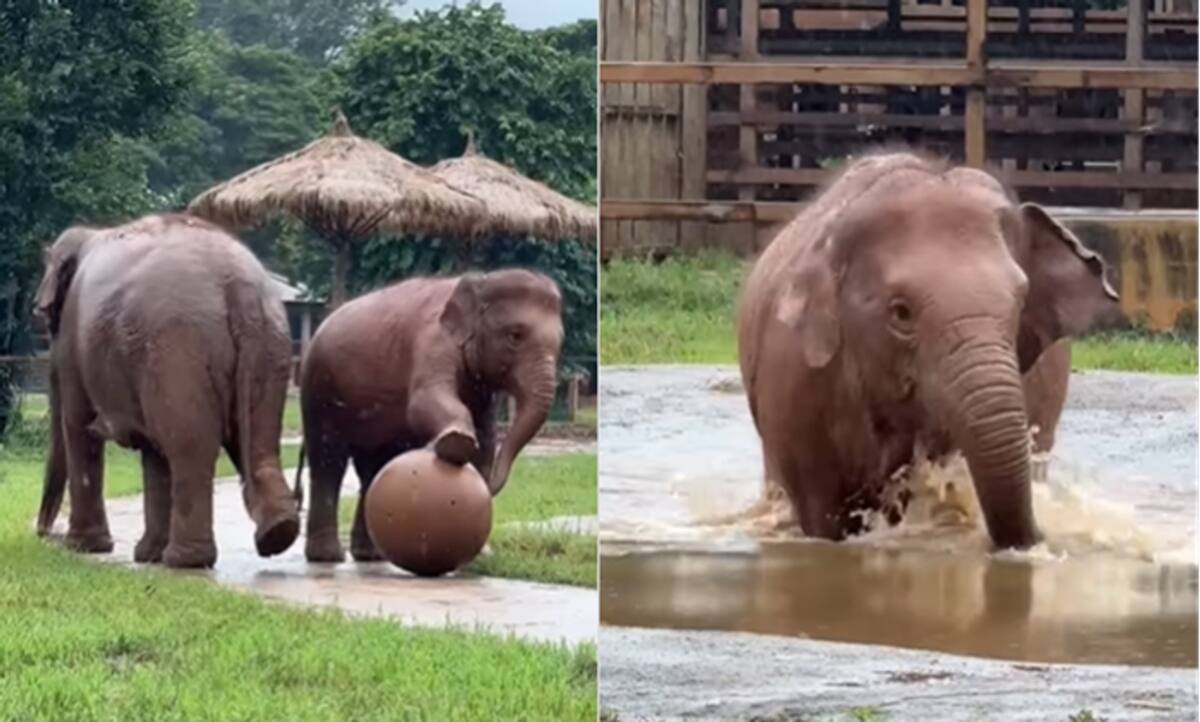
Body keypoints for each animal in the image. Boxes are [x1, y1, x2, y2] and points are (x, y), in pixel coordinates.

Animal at [34, 213, 300, 568]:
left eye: (47, 317)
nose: (42, 534)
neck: (88, 234)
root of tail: (239, 286)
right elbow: (152, 454)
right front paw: (146, 556)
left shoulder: (74, 346)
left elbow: (79, 427)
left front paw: (83, 547)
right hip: (271, 346)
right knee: (258, 443)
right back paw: (276, 534)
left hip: (177, 350)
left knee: (189, 446)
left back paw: (185, 560)